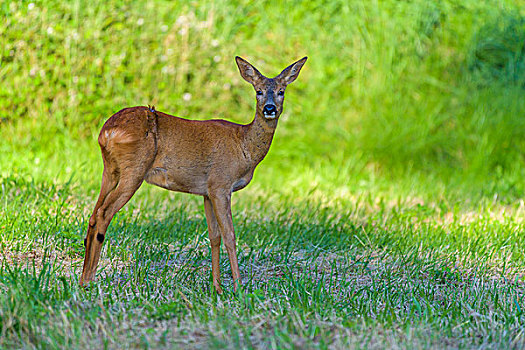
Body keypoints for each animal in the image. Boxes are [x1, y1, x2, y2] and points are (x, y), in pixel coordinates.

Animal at [79, 56, 304, 294]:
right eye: (258, 91)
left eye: (281, 91)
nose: (270, 108)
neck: (244, 146)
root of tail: (105, 133)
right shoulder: (221, 184)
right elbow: (230, 235)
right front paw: (238, 288)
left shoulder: (207, 191)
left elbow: (214, 236)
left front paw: (217, 287)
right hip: (134, 170)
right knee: (104, 213)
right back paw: (90, 279)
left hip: (110, 170)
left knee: (93, 214)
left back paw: (83, 279)